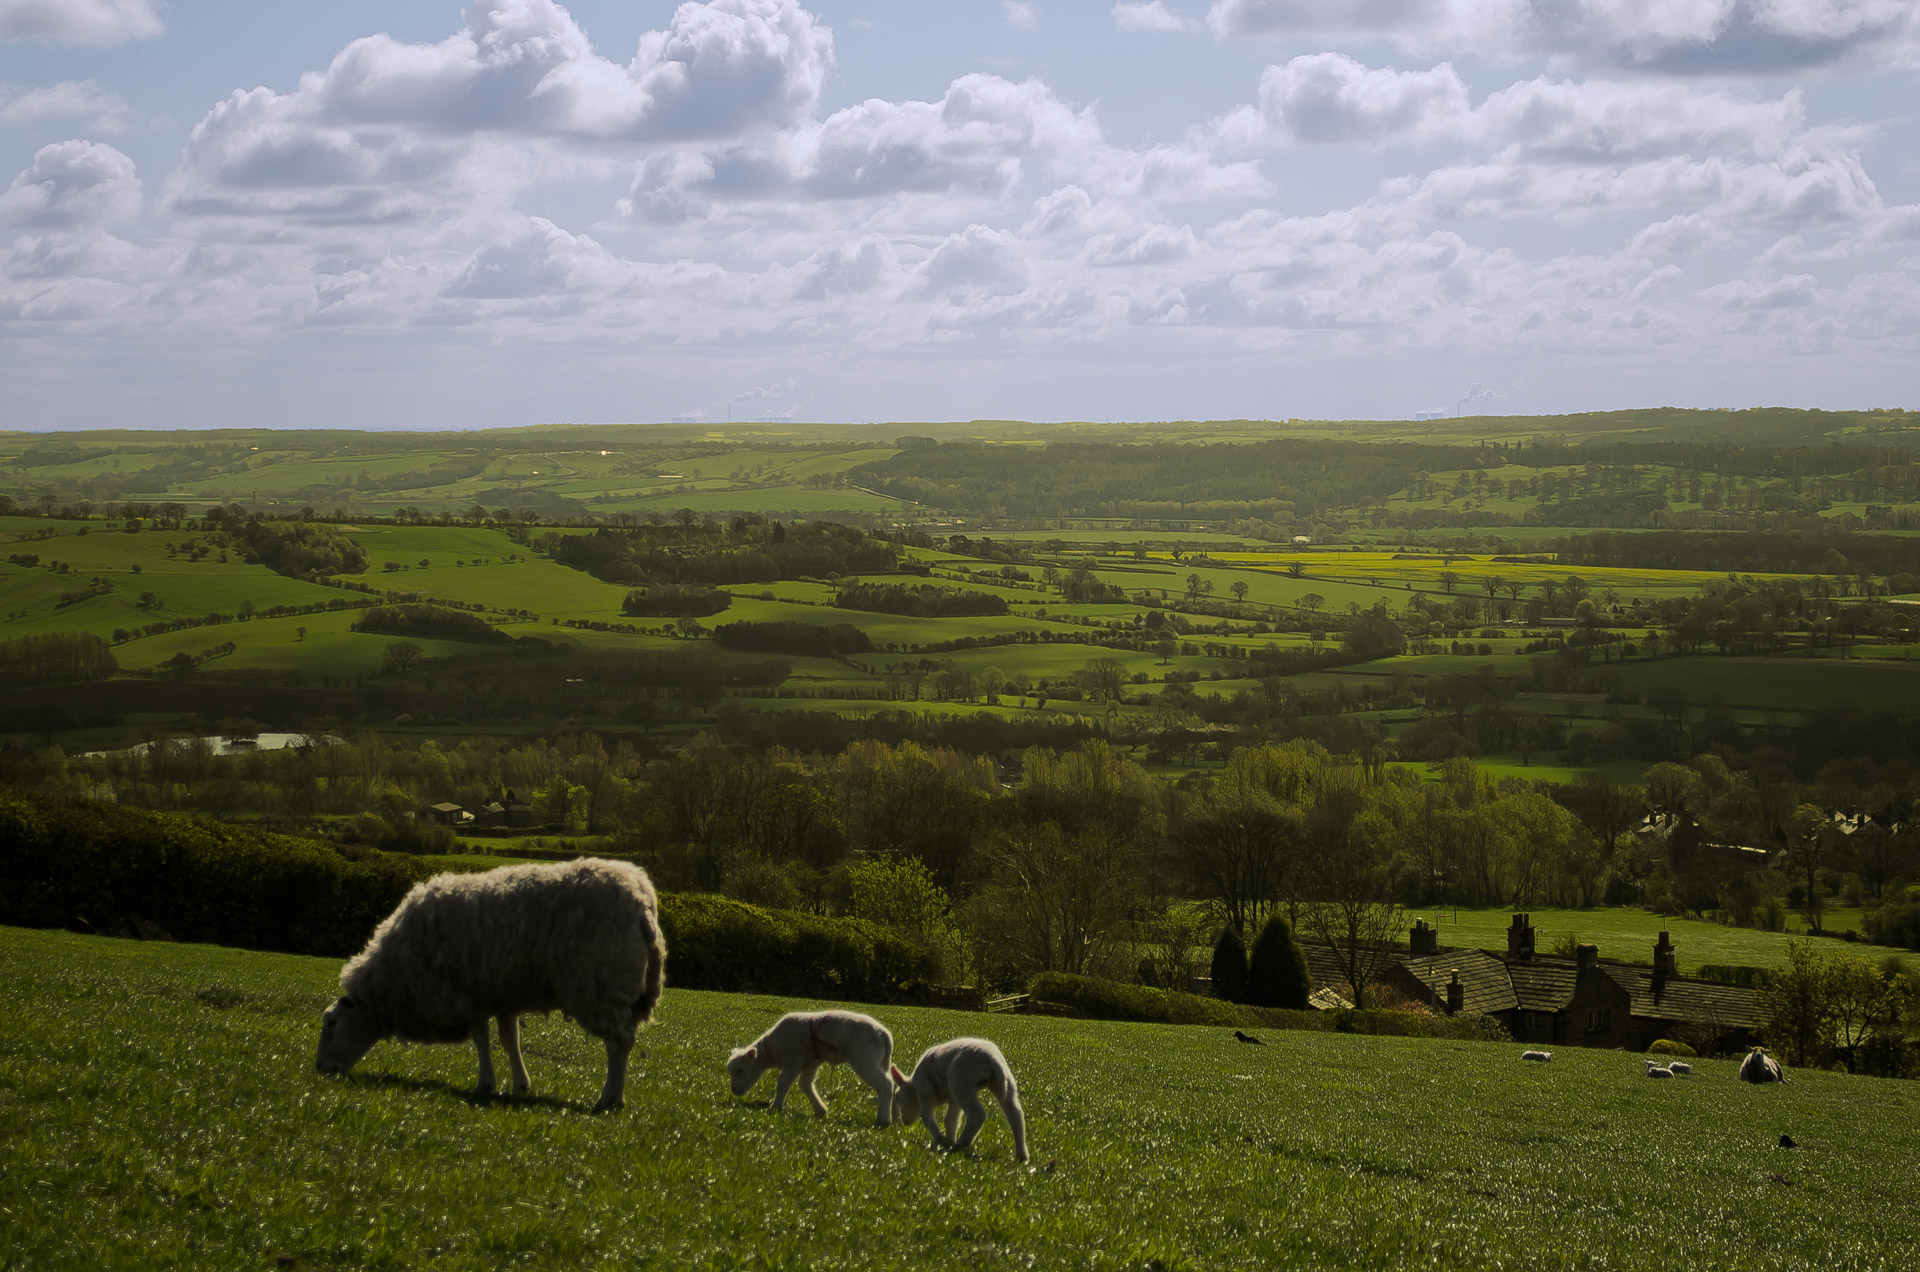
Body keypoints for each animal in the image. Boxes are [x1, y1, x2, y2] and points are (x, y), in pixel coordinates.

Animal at [314, 856, 668, 1114]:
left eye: (331, 1023)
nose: (320, 1070)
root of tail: (641, 899)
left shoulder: (463, 995)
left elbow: (481, 1040)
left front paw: (485, 1084)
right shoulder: (500, 995)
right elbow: (509, 1039)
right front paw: (520, 1084)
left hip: (599, 985)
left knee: (619, 1043)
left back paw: (610, 1098)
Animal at [725, 1014, 898, 1129]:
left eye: (739, 1070)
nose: (733, 1090)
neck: (771, 1049)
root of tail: (885, 1034)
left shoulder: (793, 1059)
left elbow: (783, 1082)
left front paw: (775, 1108)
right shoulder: (811, 1063)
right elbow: (805, 1084)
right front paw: (820, 1111)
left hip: (865, 1059)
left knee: (885, 1084)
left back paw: (883, 1120)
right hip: (881, 1062)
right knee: (892, 1085)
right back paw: (892, 1117)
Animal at [890, 1037, 1029, 1168]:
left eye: (897, 1097)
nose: (905, 1122)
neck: (913, 1086)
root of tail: (993, 1059)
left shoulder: (925, 1091)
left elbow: (926, 1116)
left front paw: (941, 1141)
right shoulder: (953, 1100)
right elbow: (951, 1120)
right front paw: (949, 1141)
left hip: (961, 1084)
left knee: (977, 1114)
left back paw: (961, 1144)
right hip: (1004, 1083)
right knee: (1015, 1114)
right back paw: (1021, 1155)